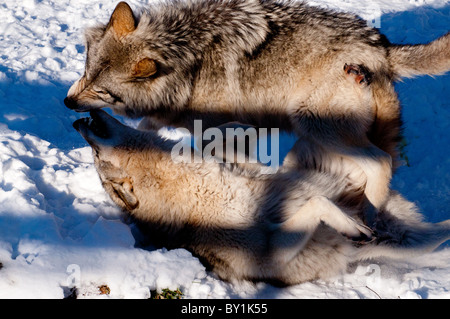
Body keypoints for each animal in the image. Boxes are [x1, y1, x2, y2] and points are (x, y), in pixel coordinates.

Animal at [64, 0, 450, 212]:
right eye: (86, 71)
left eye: (103, 91)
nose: (67, 102)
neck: (188, 61)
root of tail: (382, 46)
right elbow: (148, 128)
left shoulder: (228, 127)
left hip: (312, 121)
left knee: (380, 162)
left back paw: (374, 212)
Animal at [74, 110, 450, 288]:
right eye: (96, 155)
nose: (78, 123)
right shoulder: (275, 252)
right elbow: (318, 204)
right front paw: (349, 224)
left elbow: (222, 134)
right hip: (400, 244)